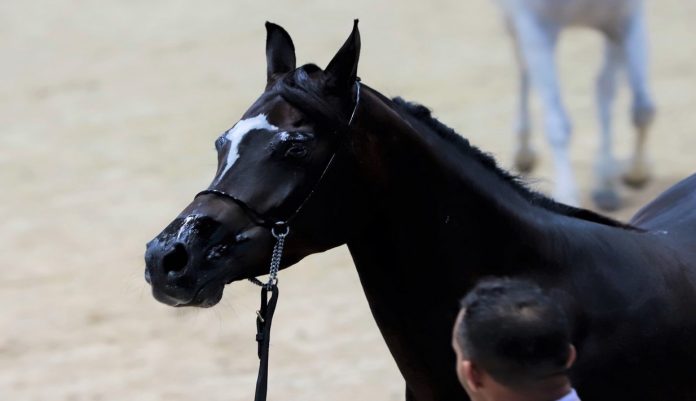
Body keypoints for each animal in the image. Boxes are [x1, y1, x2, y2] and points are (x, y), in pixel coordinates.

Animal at [498, 0, 656, 208]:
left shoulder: (624, 22)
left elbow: (643, 110)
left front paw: (636, 175)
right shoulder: (536, 29)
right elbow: (558, 125)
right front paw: (567, 198)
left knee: (604, 89)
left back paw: (606, 185)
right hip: (514, 23)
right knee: (523, 68)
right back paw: (524, 153)